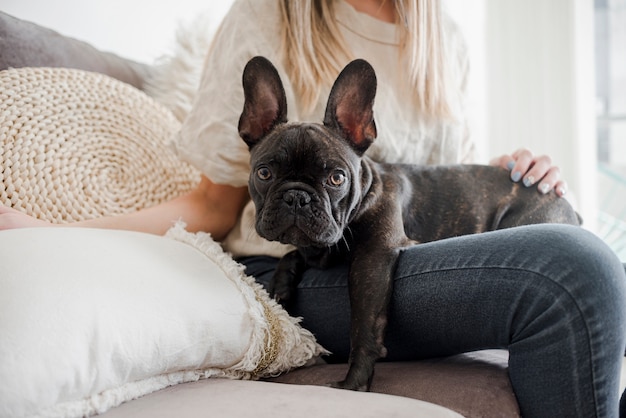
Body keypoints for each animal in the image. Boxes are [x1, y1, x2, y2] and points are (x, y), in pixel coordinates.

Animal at [236, 55, 576, 392]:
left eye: (336, 178)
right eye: (264, 173)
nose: (297, 197)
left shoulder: (372, 260)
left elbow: (363, 324)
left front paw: (353, 384)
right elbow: (292, 255)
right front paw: (280, 288)